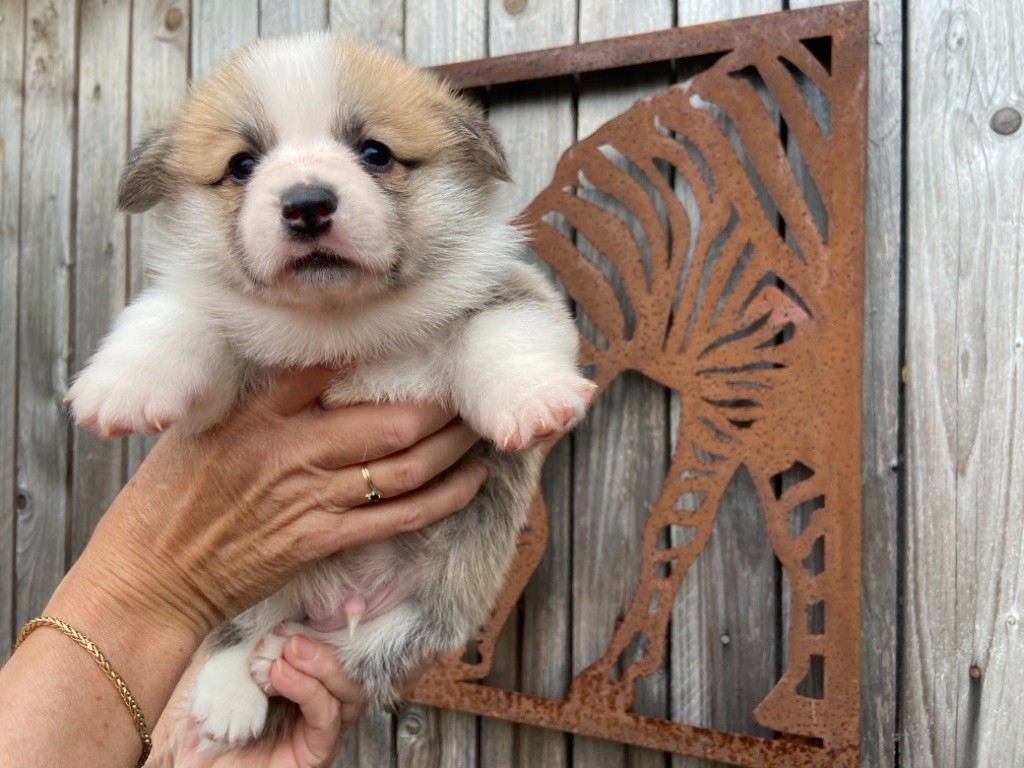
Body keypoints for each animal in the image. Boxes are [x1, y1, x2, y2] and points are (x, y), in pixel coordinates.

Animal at [66, 33, 593, 749]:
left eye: (375, 153)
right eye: (241, 165)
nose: (307, 203)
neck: (339, 323)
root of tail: (330, 606)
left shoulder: (512, 290)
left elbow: (502, 330)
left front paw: (533, 399)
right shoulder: (222, 380)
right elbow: (179, 317)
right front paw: (123, 385)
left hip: (424, 616)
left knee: (354, 651)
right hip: (255, 585)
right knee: (238, 628)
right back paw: (231, 694)